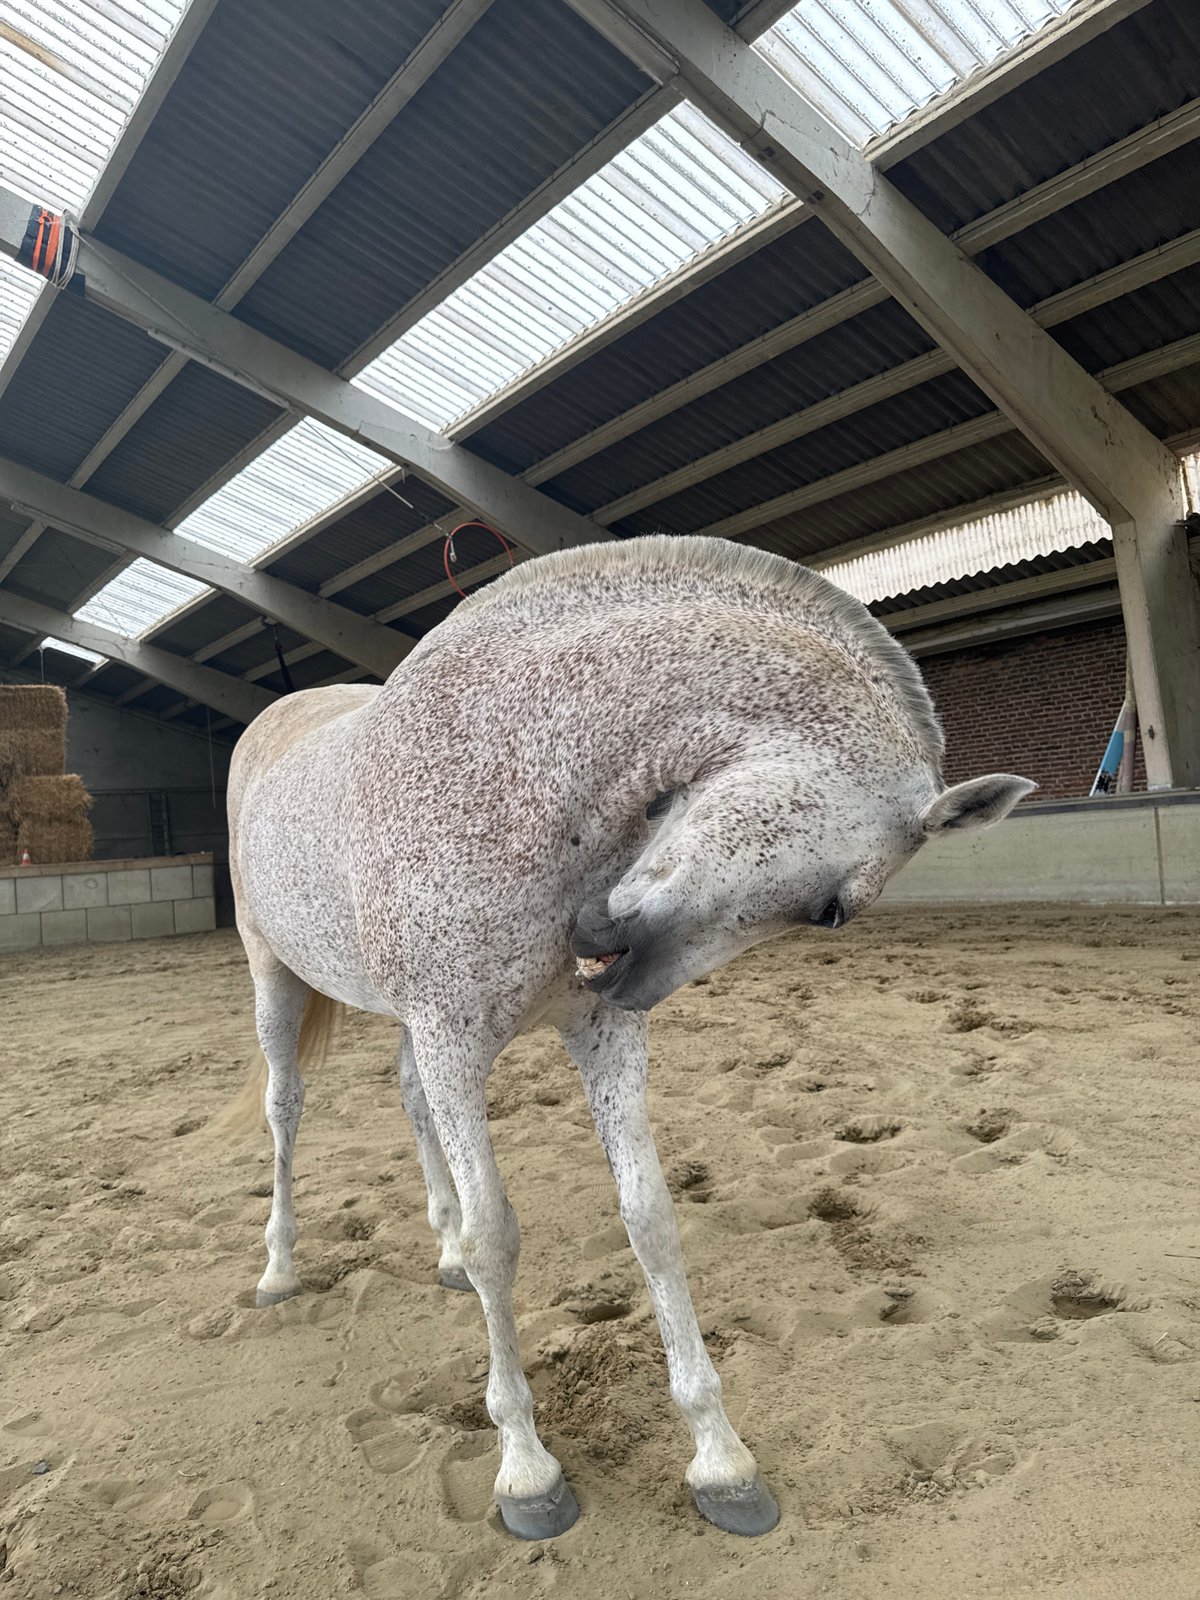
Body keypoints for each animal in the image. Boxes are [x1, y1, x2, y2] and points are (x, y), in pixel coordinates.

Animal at [227, 533, 1032, 1540]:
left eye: (833, 914)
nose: (616, 957)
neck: (516, 777)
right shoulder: (456, 1038)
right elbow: (499, 1235)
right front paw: (525, 1471)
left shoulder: (595, 1036)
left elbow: (648, 1219)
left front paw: (722, 1461)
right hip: (276, 980)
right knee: (285, 1109)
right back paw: (279, 1271)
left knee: (407, 1100)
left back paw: (437, 1255)